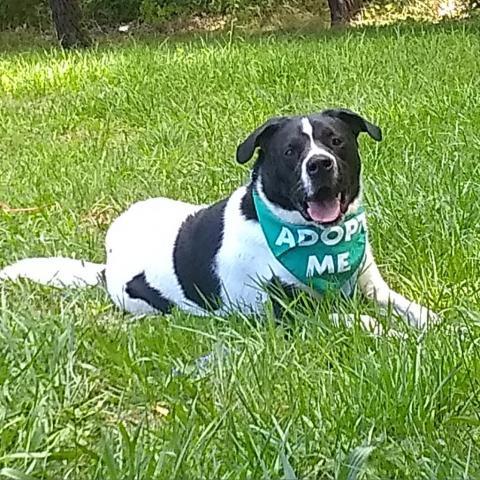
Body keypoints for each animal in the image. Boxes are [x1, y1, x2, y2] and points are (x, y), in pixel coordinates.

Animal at [0, 109, 438, 330]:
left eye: (336, 141)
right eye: (290, 151)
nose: (319, 164)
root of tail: (107, 264)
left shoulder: (370, 286)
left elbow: (408, 307)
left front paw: (437, 325)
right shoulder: (283, 313)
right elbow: (355, 319)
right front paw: (388, 333)